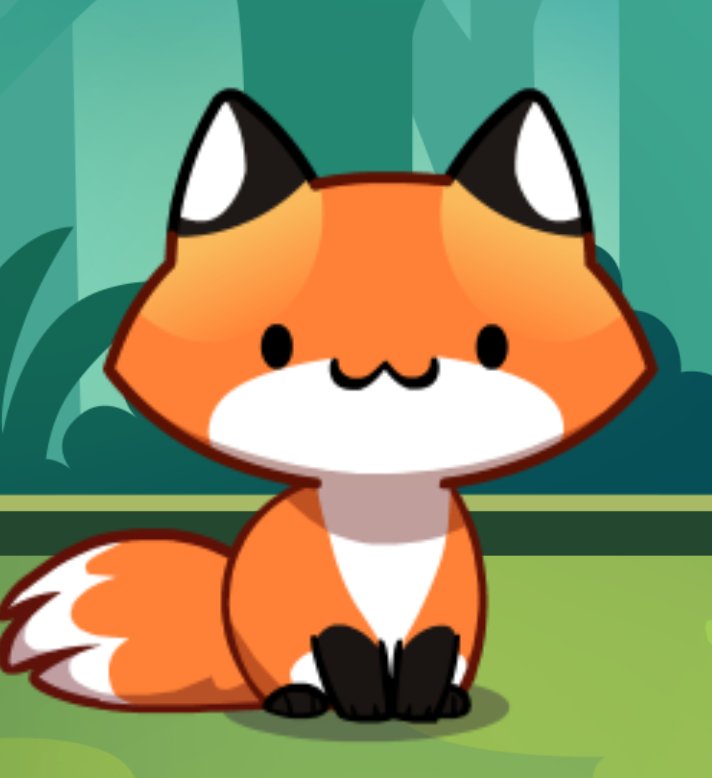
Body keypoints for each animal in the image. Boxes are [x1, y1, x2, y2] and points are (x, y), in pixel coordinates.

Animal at [0, 89, 653, 722]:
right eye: (274, 344)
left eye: (493, 345)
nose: (388, 372)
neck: (383, 517)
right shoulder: (317, 610)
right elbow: (345, 648)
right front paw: (365, 709)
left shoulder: (450, 606)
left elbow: (431, 650)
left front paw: (419, 707)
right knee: (289, 679)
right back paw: (298, 701)